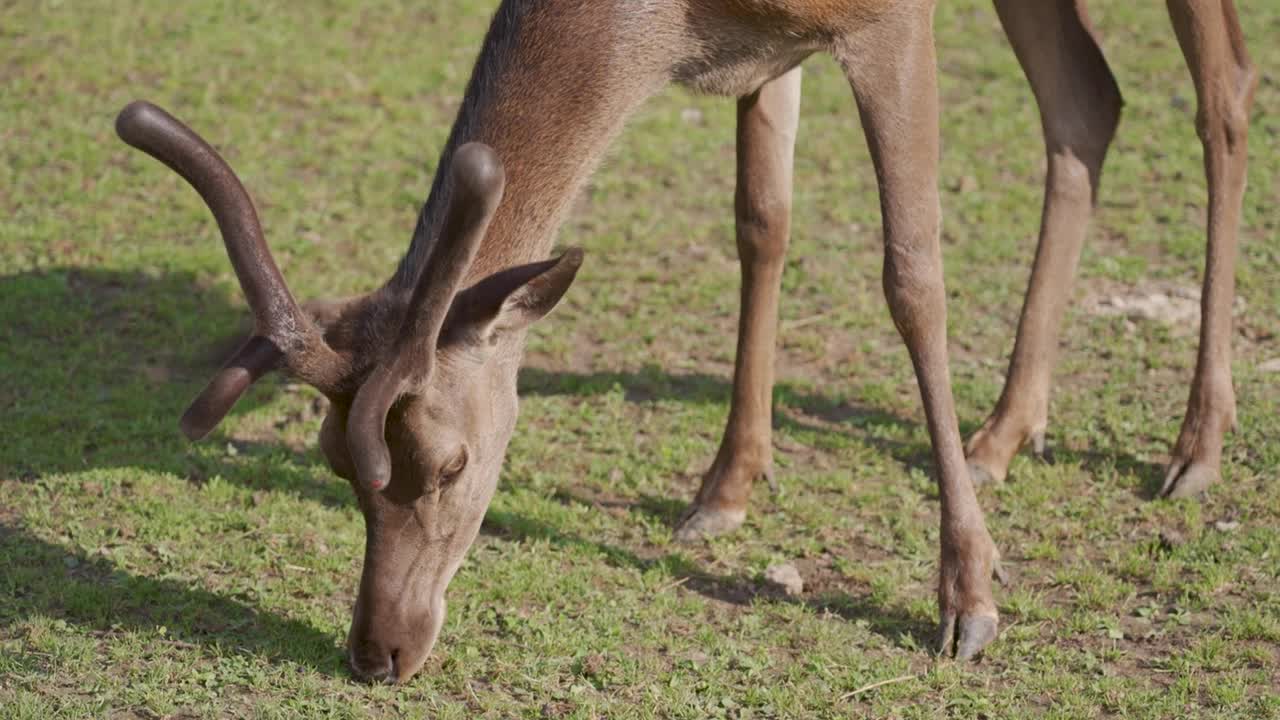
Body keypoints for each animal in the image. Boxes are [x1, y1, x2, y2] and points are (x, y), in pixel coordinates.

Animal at [115, 0, 1254, 681]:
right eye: (332, 464)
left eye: (449, 463)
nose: (376, 653)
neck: (664, 26)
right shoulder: (765, 46)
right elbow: (760, 221)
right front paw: (725, 489)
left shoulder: (886, 20)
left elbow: (911, 275)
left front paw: (967, 598)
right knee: (1088, 96)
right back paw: (1007, 430)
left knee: (1222, 91)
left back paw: (1195, 445)